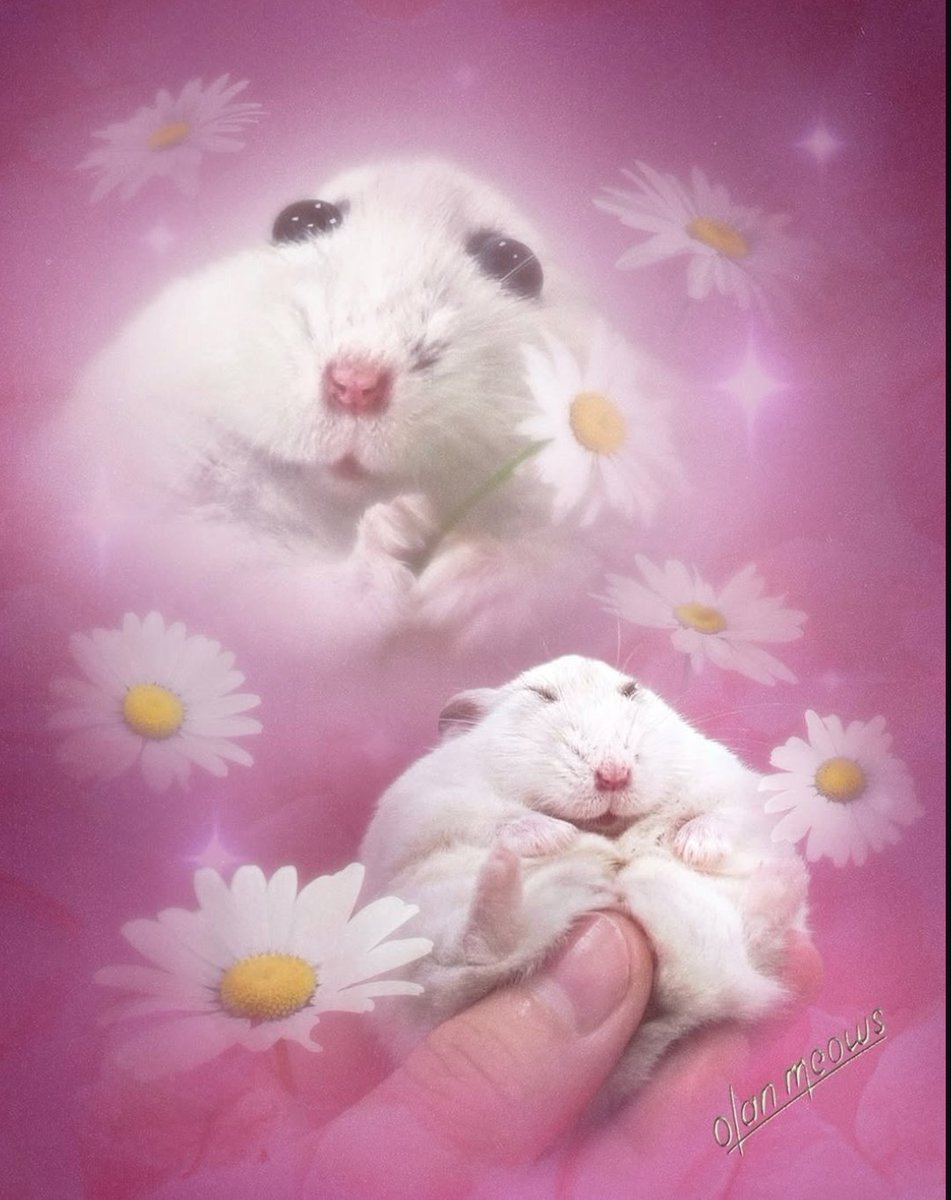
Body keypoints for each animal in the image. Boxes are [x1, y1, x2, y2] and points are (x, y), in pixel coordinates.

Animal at [49, 159, 678, 649]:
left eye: (512, 261)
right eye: (299, 220)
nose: (355, 383)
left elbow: (569, 565)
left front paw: (454, 589)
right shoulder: (176, 521)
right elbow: (276, 594)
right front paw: (397, 533)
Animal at [359, 654, 809, 1098]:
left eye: (631, 691)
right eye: (541, 695)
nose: (614, 775)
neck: (611, 828)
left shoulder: (734, 786)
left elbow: (721, 815)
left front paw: (691, 847)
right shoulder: (432, 802)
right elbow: (500, 819)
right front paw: (562, 838)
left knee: (758, 940)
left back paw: (784, 879)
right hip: (421, 952)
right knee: (472, 951)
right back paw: (537, 871)